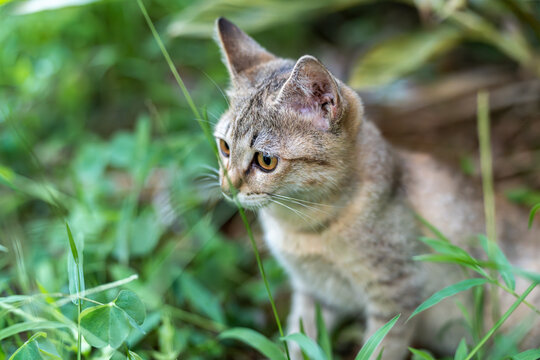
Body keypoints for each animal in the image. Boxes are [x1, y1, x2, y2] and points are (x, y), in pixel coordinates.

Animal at [211, 17, 540, 360]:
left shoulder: (396, 294)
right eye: (224, 147)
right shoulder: (315, 293)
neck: (305, 228)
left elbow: (378, 348)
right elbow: (300, 341)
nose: (227, 187)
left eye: (266, 160)